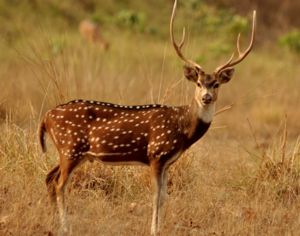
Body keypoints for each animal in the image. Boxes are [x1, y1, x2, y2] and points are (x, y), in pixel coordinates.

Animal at [39, 0, 255, 235]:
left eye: (216, 84)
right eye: (198, 83)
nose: (206, 98)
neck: (181, 128)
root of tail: (46, 117)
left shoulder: (168, 162)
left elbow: (164, 197)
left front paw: (159, 227)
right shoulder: (156, 154)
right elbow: (155, 197)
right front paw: (153, 230)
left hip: (72, 152)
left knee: (49, 177)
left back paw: (53, 221)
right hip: (71, 148)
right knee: (60, 184)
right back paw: (65, 227)